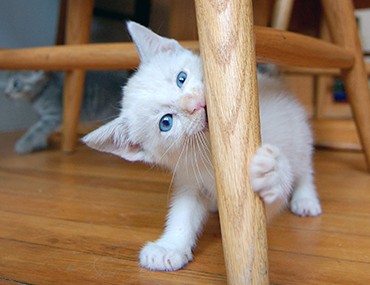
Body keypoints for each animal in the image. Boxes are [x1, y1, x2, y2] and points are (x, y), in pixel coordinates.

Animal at [83, 21, 320, 270]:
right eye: (166, 122)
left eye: (181, 78)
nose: (195, 104)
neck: (209, 150)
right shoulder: (190, 176)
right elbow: (183, 211)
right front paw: (169, 247)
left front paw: (271, 172)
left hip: (298, 133)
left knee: (304, 167)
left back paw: (306, 199)